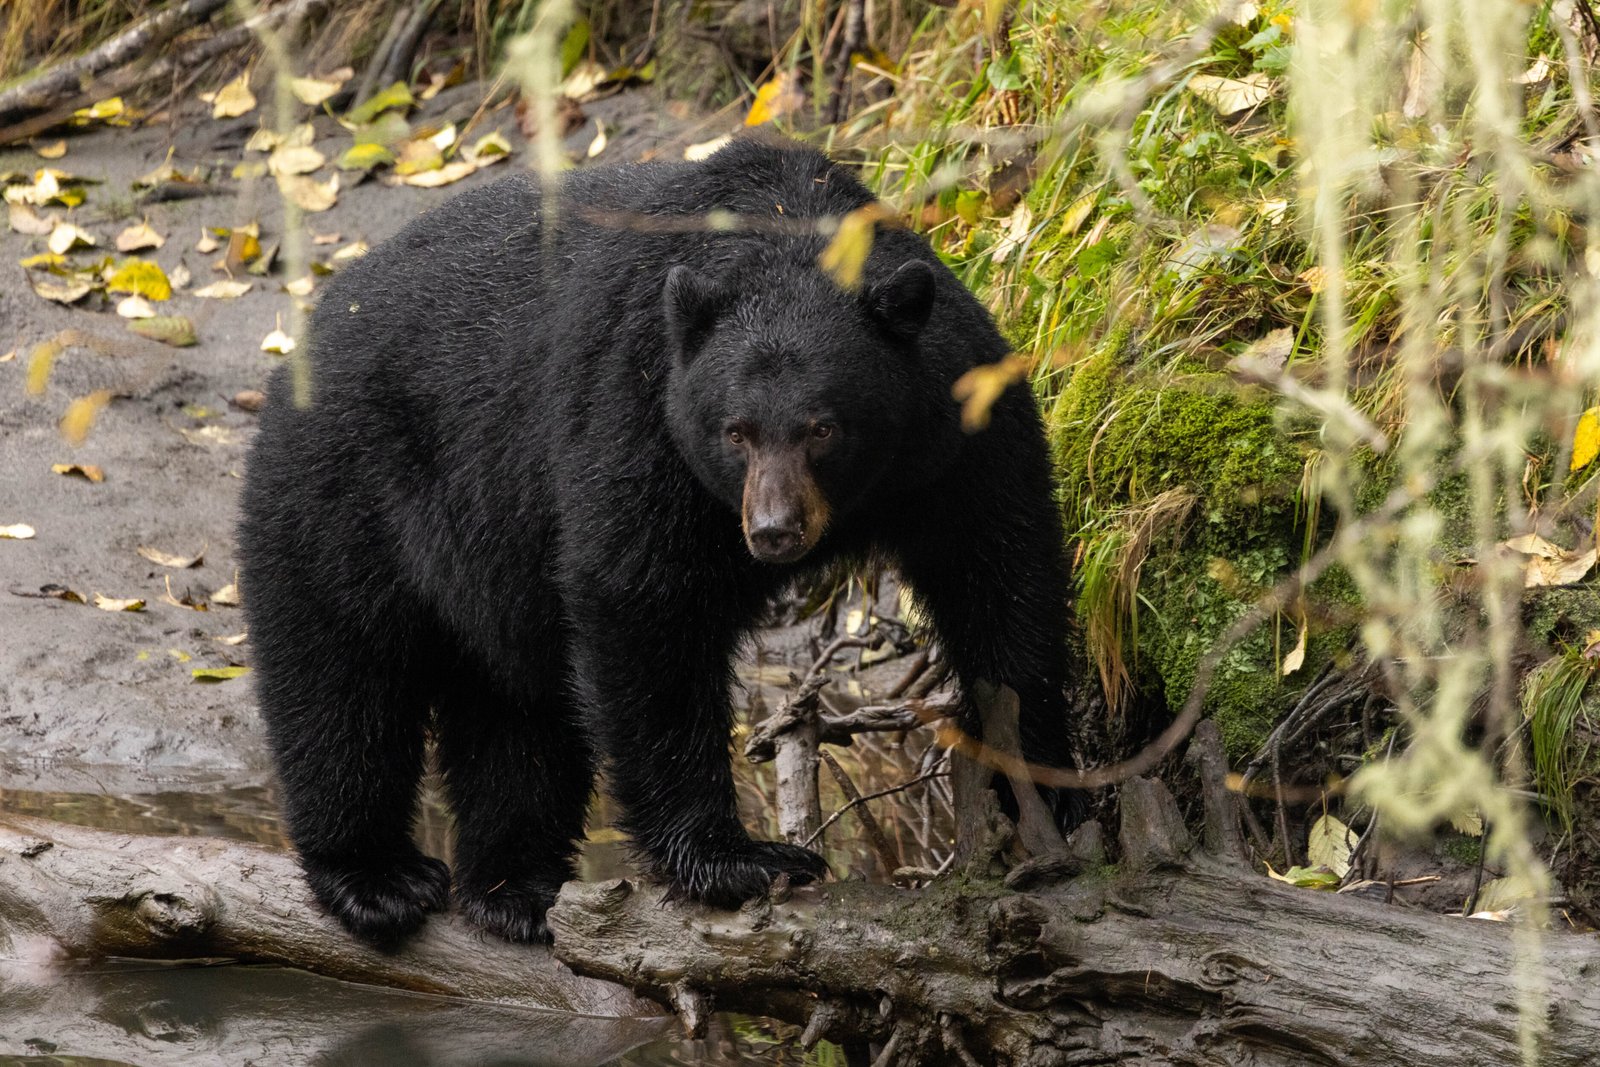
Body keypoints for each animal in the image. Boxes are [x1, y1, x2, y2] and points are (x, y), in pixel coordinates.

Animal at [236, 137, 1081, 947]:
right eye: (735, 430)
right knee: (342, 676)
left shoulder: (959, 422)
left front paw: (1041, 789)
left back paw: (515, 889)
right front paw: (734, 857)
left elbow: (1004, 574)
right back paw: (377, 876)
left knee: (517, 710)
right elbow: (644, 605)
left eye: (823, 427)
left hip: (487, 561)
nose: (774, 531)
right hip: (345, 489)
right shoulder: (639, 409)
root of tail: (307, 332)